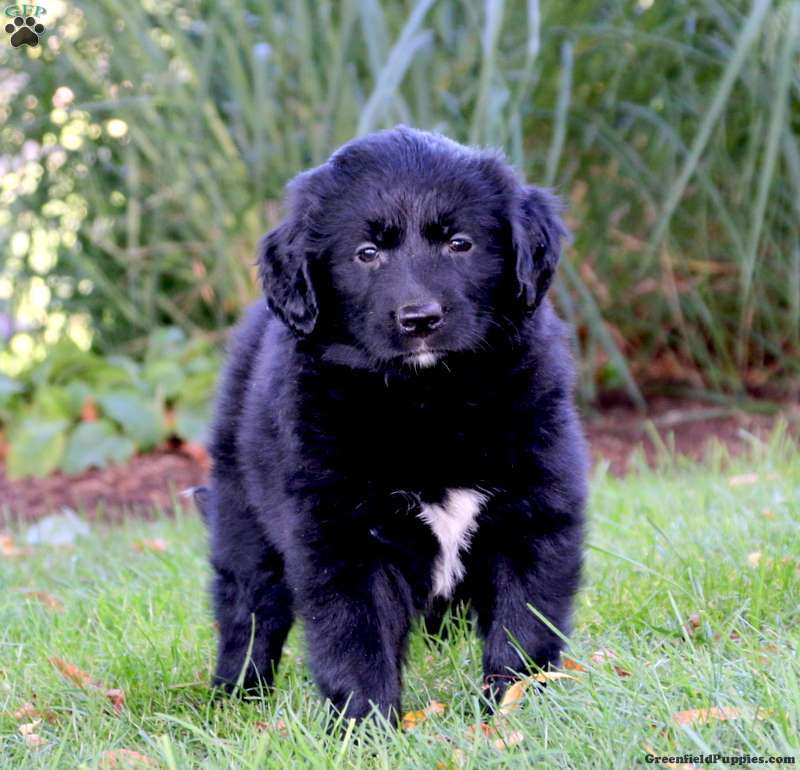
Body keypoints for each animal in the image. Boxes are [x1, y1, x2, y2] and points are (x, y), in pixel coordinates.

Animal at [203, 126, 584, 720]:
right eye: (366, 254)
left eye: (460, 244)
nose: (419, 319)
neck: (428, 402)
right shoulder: (343, 538)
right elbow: (357, 638)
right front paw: (367, 725)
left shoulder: (535, 514)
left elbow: (523, 625)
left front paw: (511, 710)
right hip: (243, 520)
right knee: (248, 610)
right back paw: (238, 695)